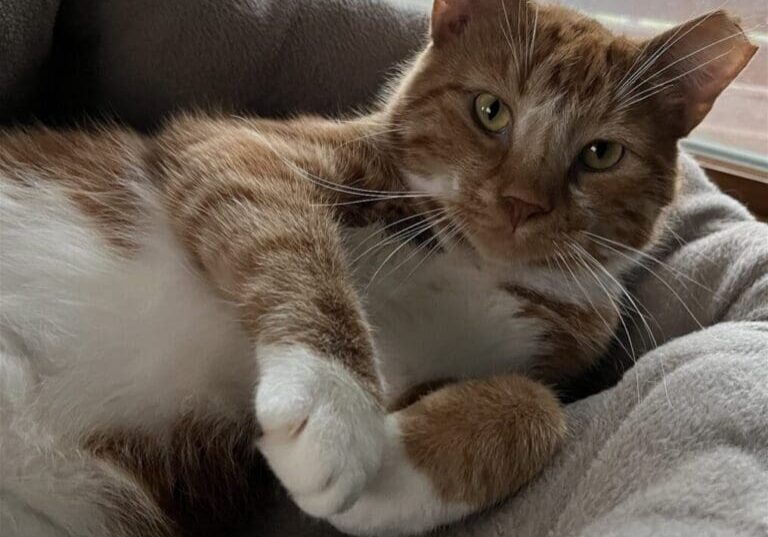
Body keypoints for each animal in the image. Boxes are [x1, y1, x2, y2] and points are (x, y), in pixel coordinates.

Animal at [0, 1, 756, 536]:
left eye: (601, 153)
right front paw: (335, 407)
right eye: (491, 110)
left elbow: (538, 406)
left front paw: (393, 472)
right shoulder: (234, 148)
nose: (520, 202)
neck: (470, 265)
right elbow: (292, 241)